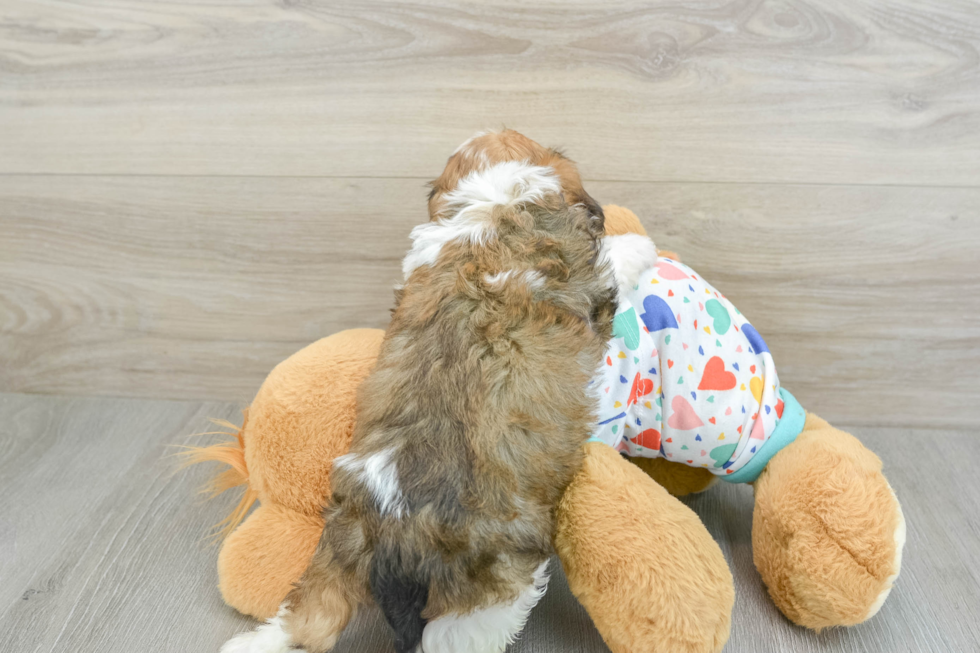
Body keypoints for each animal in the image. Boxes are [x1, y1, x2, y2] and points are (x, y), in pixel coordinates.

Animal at [226, 134, 616, 652]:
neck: (495, 202)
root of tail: (386, 524)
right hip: (491, 578)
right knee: (457, 631)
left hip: (334, 556)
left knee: (305, 624)